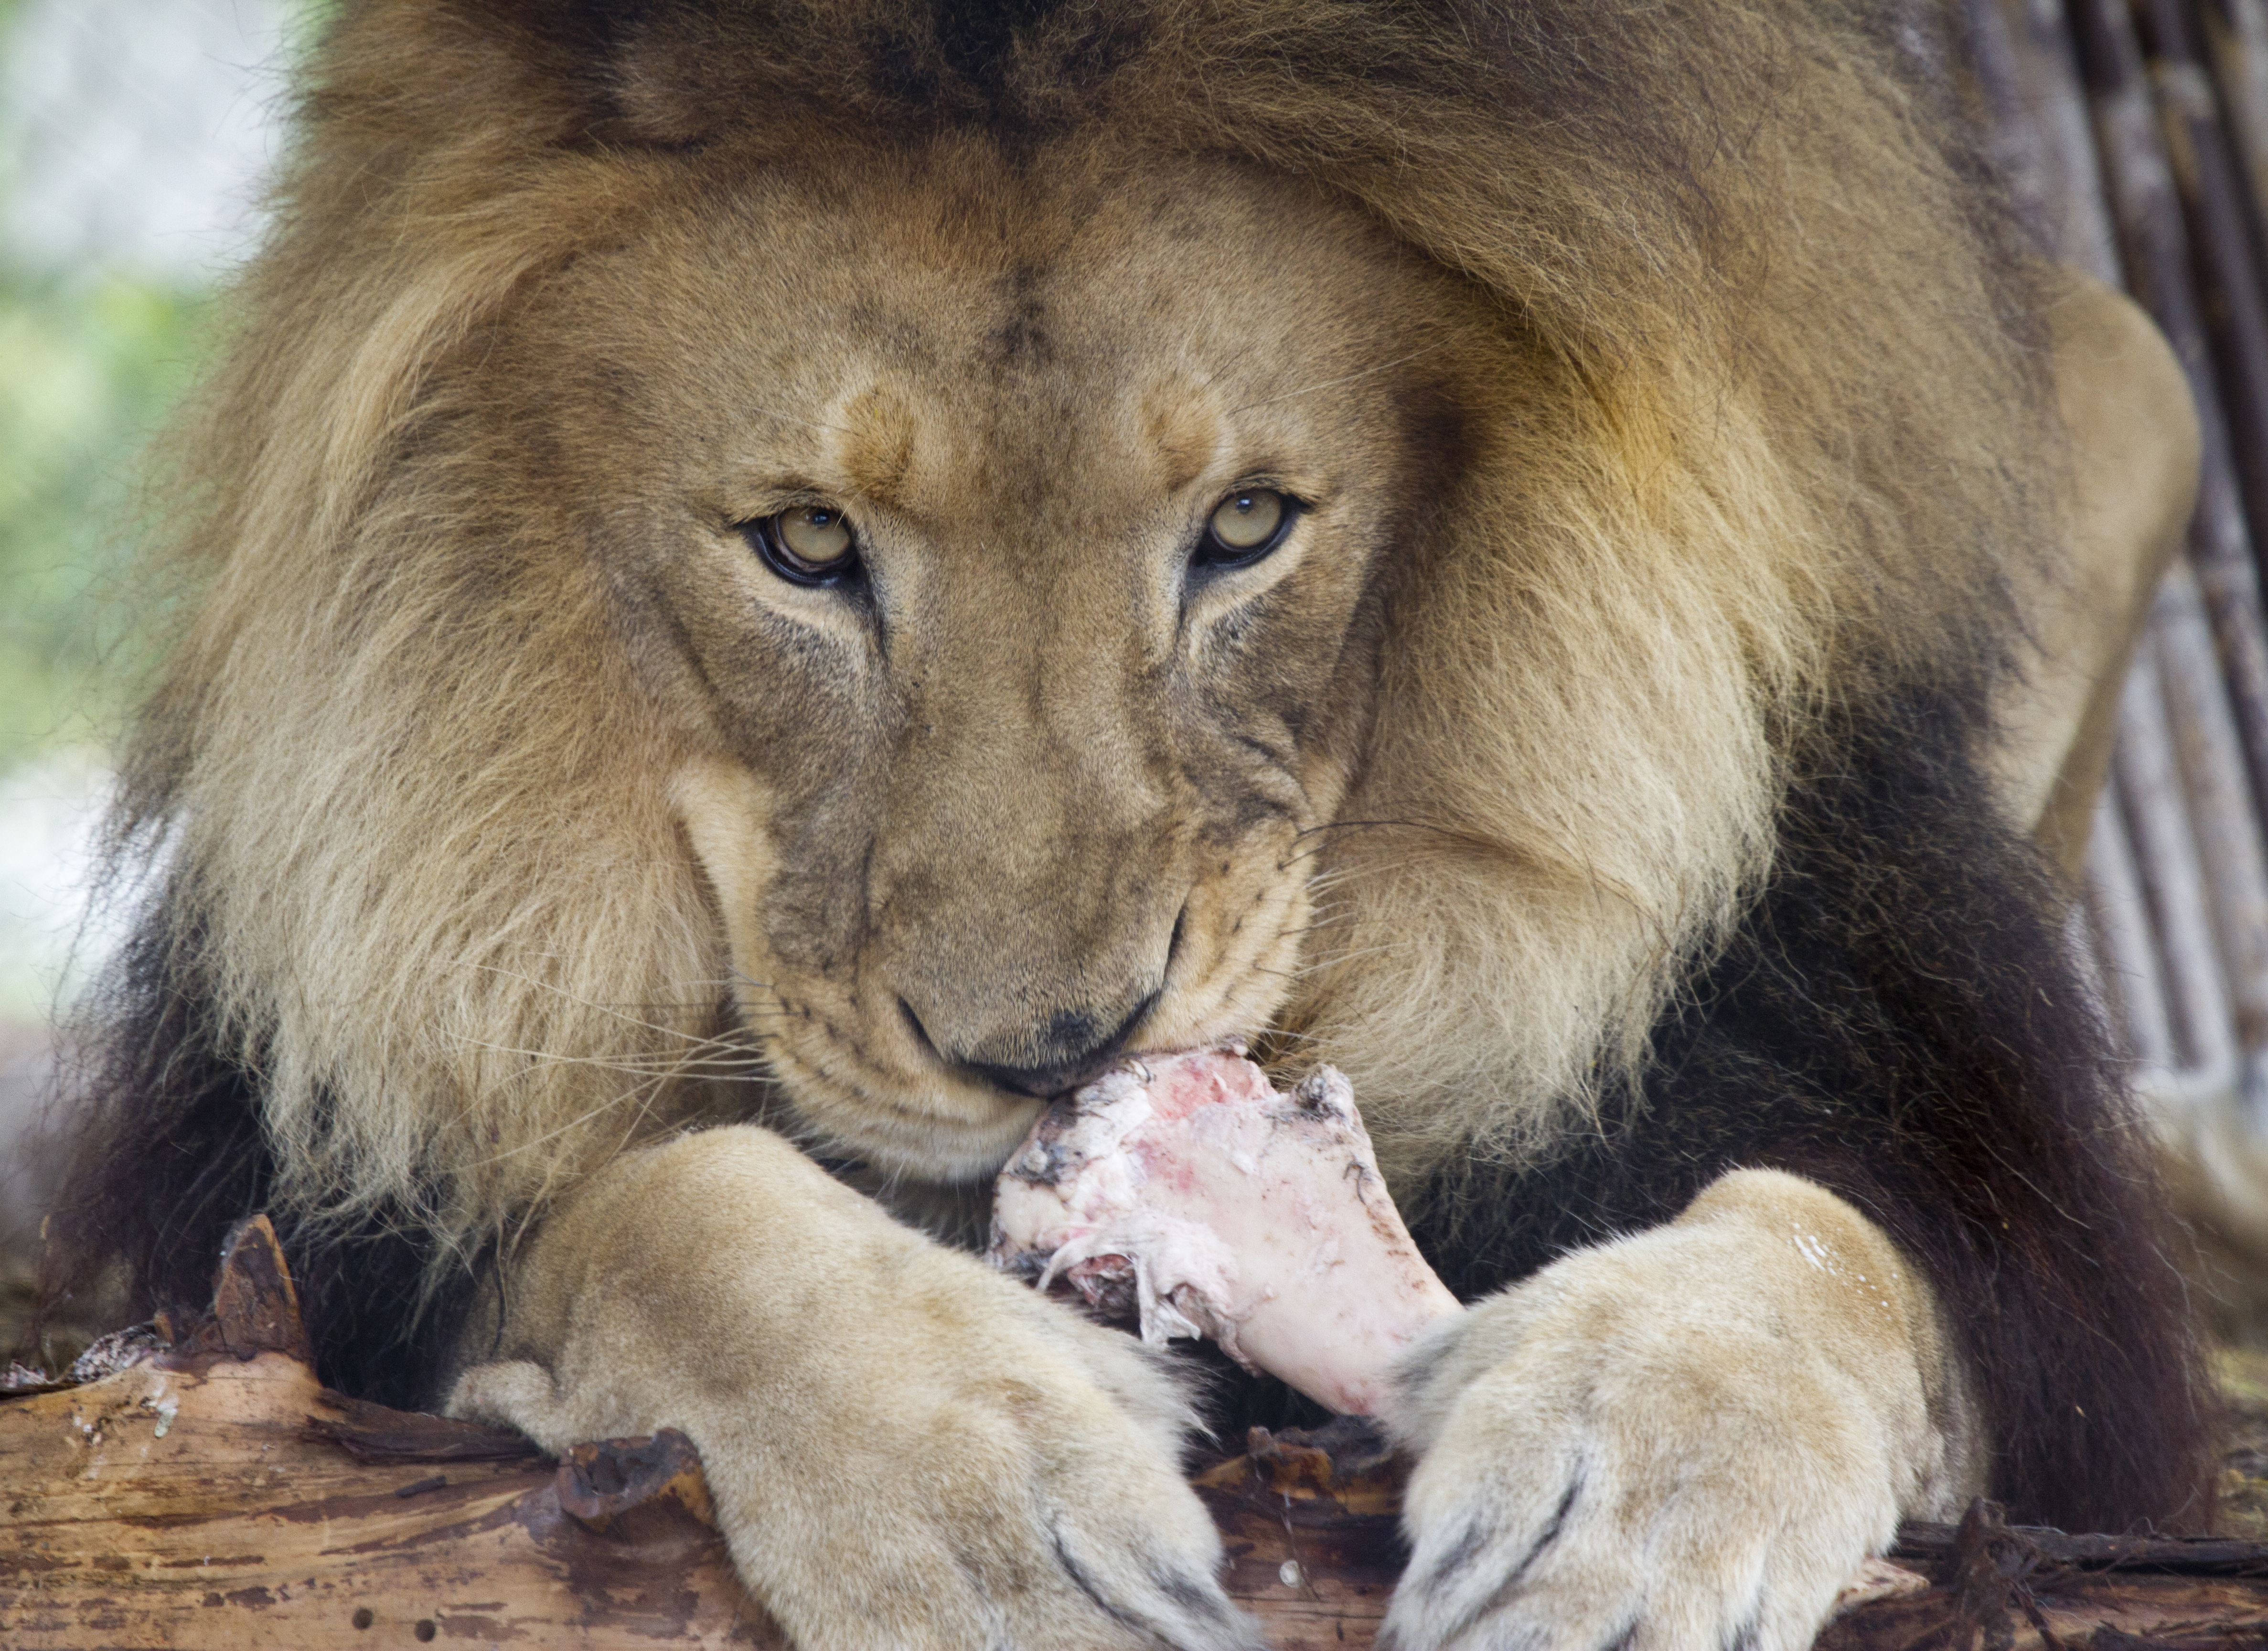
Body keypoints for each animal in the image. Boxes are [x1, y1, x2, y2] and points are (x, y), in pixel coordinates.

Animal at [42, 1, 2214, 1647]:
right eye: (803, 546)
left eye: (1244, 526)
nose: (1051, 1054)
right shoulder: (297, 1288)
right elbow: (657, 1209)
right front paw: (974, 1482)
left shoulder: (2013, 1250)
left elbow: (1827, 1239)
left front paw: (1635, 1477)